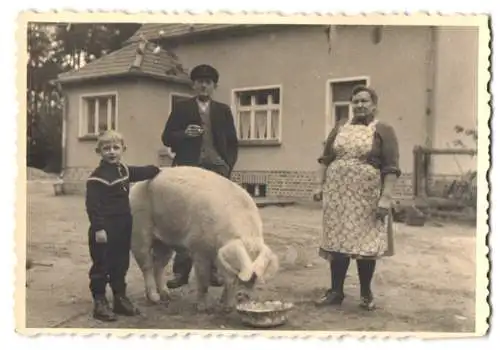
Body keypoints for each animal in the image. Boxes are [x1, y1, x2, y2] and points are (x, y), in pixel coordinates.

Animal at [129, 166, 280, 312]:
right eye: (237, 272)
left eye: (255, 278)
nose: (243, 297)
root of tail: (135, 186)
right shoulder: (198, 247)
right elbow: (203, 280)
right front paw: (203, 308)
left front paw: (224, 306)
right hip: (138, 227)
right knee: (146, 264)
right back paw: (154, 299)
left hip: (165, 240)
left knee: (159, 264)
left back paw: (167, 296)